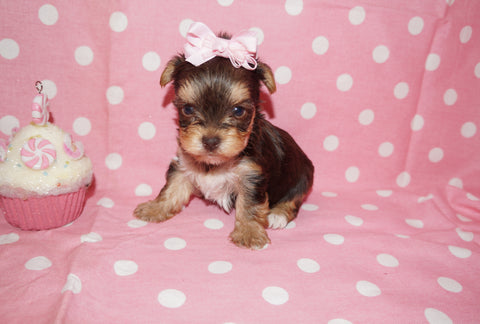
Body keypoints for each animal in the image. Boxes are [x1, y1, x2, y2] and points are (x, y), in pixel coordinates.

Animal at [135, 22, 316, 248]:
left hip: (302, 176)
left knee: (293, 199)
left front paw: (249, 233)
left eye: (238, 111)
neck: (217, 163)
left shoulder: (252, 176)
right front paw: (154, 208)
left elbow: (249, 205)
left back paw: (277, 215)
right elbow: (171, 188)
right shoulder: (184, 164)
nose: (210, 141)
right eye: (187, 109)